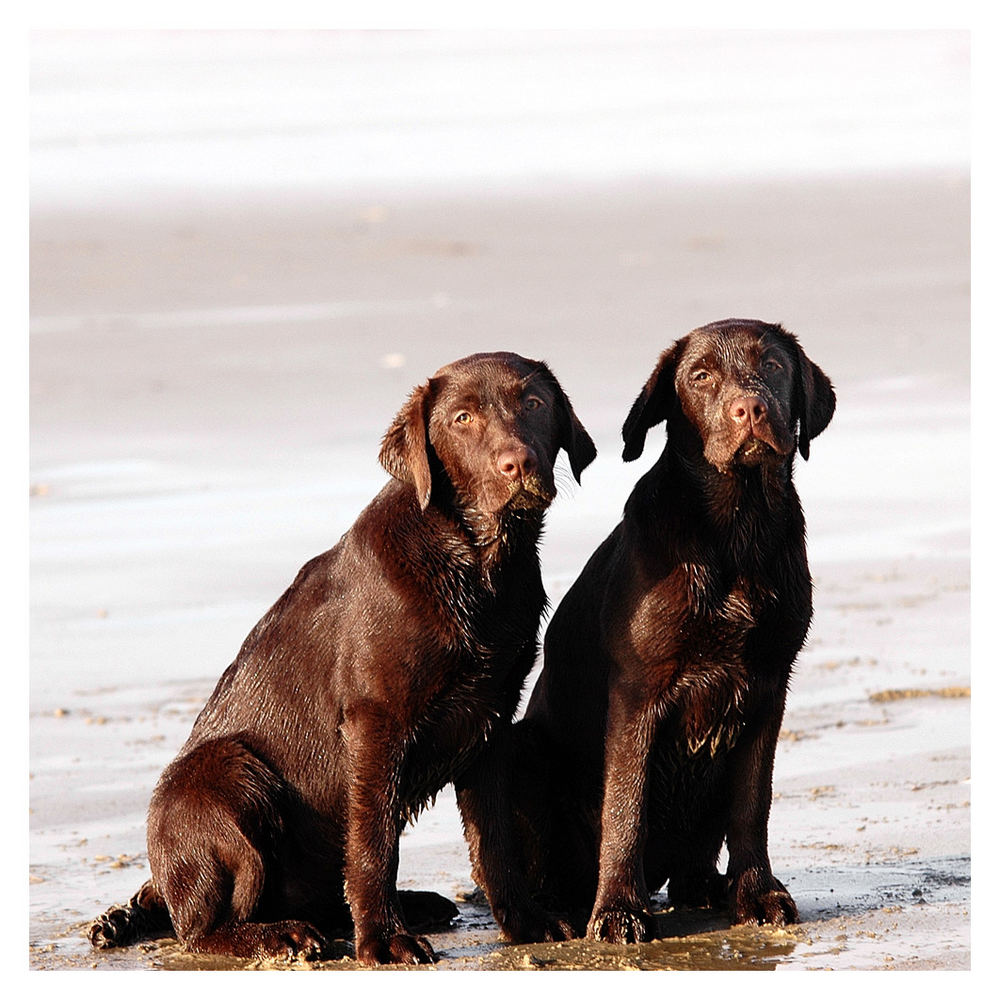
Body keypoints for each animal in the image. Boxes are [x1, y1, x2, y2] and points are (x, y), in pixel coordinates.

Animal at [88, 352, 592, 960]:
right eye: (462, 418)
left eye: (535, 403)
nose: (516, 465)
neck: (477, 565)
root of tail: (161, 882)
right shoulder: (376, 723)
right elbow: (375, 845)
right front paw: (384, 941)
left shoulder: (490, 721)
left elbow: (495, 842)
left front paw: (527, 922)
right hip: (227, 774)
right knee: (201, 928)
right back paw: (280, 934)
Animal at [512, 322, 832, 944]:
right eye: (701, 376)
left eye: (773, 366)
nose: (750, 409)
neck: (736, 529)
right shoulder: (638, 693)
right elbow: (626, 807)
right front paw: (617, 910)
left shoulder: (768, 687)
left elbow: (752, 804)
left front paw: (757, 893)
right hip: (527, 750)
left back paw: (708, 886)